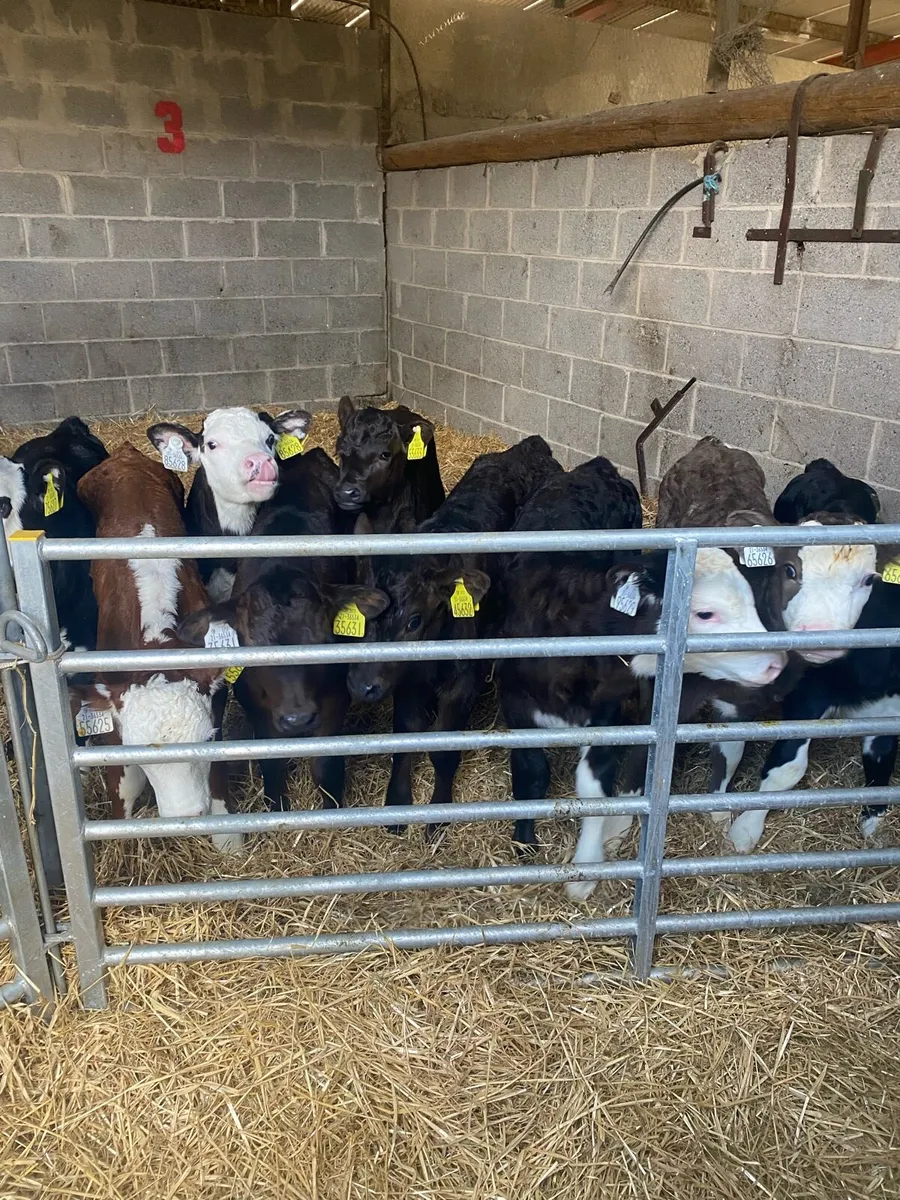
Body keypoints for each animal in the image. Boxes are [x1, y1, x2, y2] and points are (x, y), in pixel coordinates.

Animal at [178, 448, 371, 813]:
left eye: (325, 641)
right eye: (253, 645)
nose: (298, 720)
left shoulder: (334, 703)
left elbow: (325, 766)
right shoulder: (256, 708)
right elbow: (271, 761)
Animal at [343, 435, 561, 836]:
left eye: (414, 620)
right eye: (362, 611)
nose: (361, 686)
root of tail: (531, 445)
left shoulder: (462, 683)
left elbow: (443, 750)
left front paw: (438, 813)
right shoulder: (406, 680)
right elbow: (405, 735)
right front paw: (396, 803)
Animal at [495, 456, 786, 894]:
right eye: (705, 613)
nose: (775, 662)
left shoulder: (607, 714)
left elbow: (594, 787)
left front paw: (586, 868)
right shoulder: (516, 707)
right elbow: (531, 773)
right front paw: (525, 844)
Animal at [654, 436, 877, 853]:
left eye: (869, 579)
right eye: (790, 570)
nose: (822, 633)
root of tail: (712, 444)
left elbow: (769, 763)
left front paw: (734, 822)